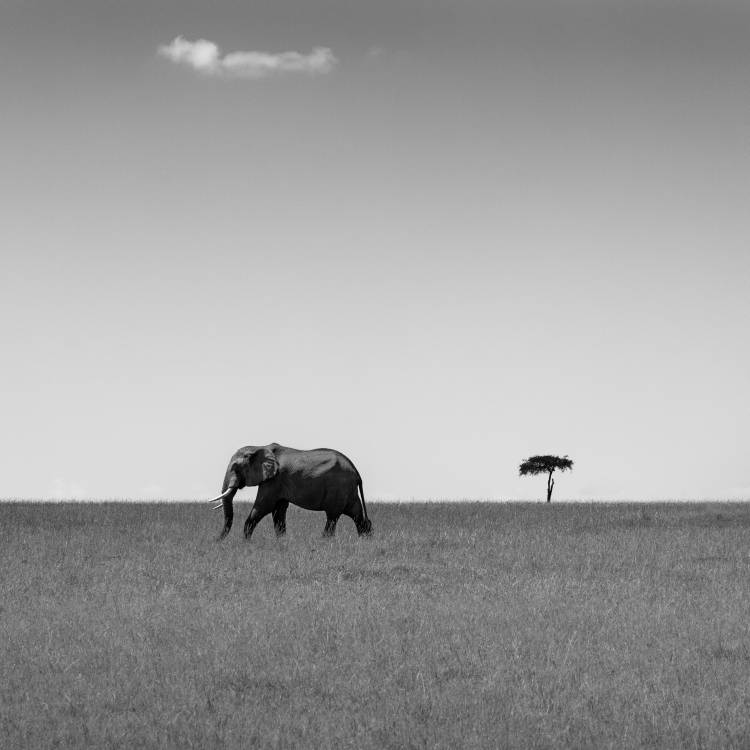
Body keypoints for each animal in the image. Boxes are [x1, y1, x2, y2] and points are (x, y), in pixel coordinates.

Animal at [209, 444, 374, 544]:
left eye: (235, 468)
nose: (217, 540)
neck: (259, 447)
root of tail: (356, 471)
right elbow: (278, 511)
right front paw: (281, 542)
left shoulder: (273, 480)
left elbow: (263, 507)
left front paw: (246, 543)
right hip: (348, 490)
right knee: (357, 514)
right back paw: (366, 541)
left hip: (339, 487)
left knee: (333, 516)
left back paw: (325, 542)